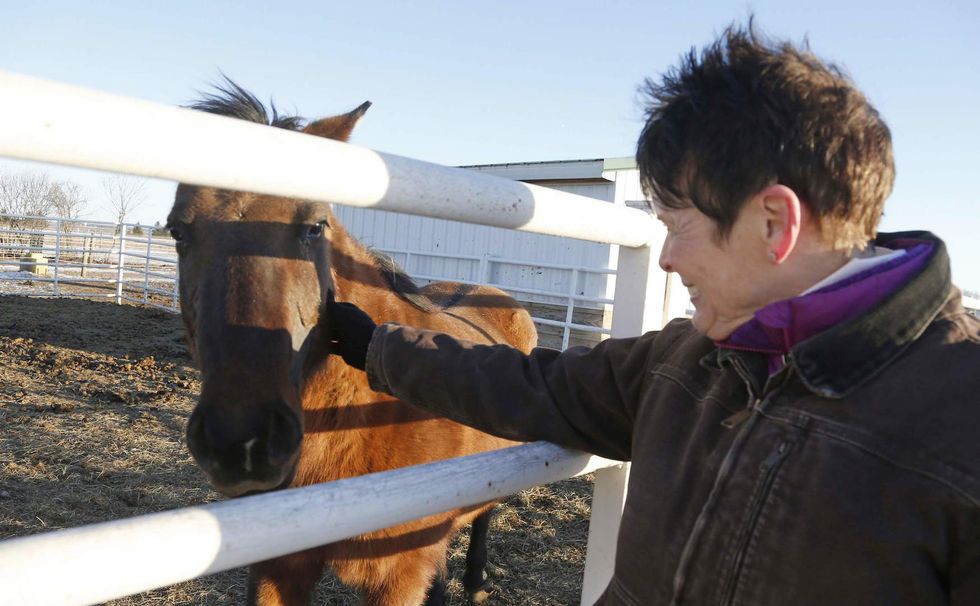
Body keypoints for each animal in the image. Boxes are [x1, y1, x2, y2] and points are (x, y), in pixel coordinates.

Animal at [167, 80, 538, 606]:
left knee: (486, 514)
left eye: (314, 226)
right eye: (177, 230)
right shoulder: (278, 567)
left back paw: (476, 580)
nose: (242, 442)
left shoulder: (397, 577)